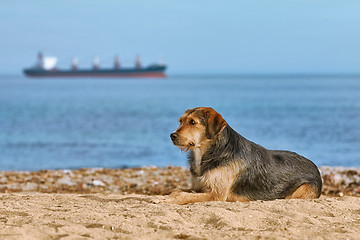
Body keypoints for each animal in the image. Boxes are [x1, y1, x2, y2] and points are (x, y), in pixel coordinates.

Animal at [167, 107, 322, 204]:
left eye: (193, 122)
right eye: (180, 121)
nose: (172, 136)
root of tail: (315, 167)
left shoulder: (216, 194)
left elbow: (183, 195)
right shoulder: (198, 187)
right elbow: (177, 190)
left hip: (299, 191)